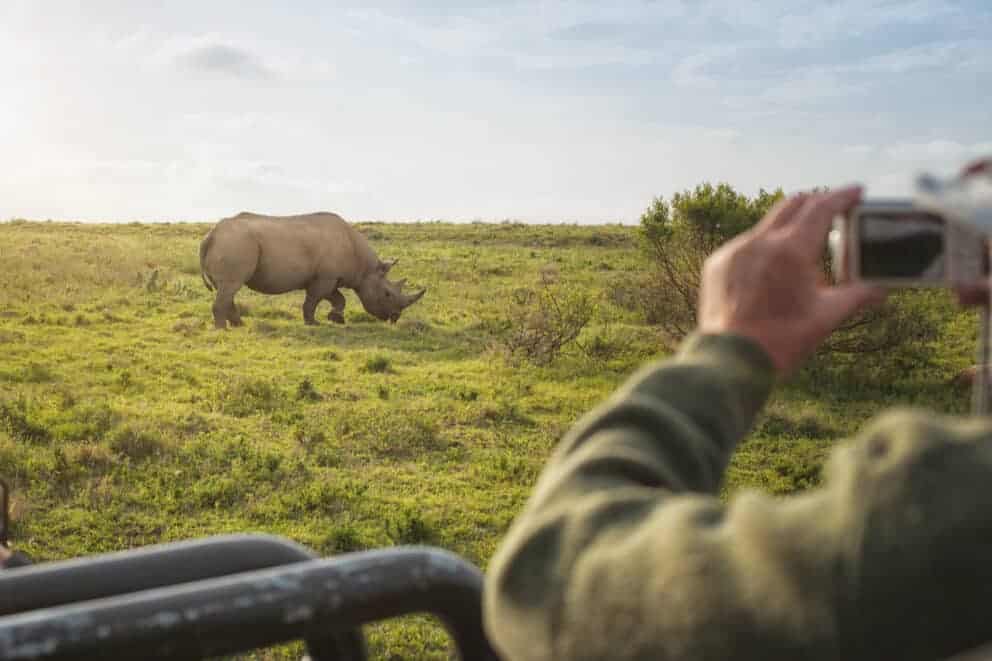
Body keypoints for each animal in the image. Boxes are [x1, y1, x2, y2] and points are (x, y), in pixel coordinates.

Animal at [199, 211, 425, 329]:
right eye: (387, 294)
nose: (395, 317)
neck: (365, 269)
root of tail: (210, 235)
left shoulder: (330, 277)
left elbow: (338, 298)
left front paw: (336, 319)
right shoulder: (325, 278)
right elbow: (314, 300)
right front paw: (313, 323)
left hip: (234, 243)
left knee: (228, 288)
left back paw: (239, 325)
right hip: (235, 243)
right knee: (231, 286)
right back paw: (223, 329)